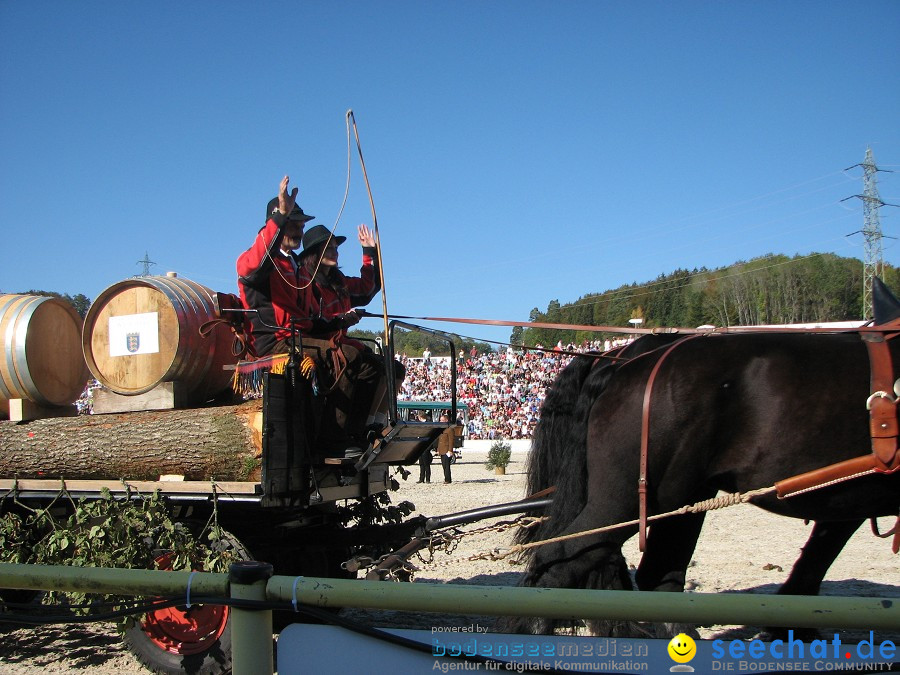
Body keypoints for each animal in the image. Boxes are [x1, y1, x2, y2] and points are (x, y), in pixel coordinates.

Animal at [506, 304, 900, 636]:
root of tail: (623, 362)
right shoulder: (850, 494)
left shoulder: (845, 498)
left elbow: (812, 565)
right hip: (629, 500)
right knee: (561, 558)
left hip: (680, 498)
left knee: (652, 574)